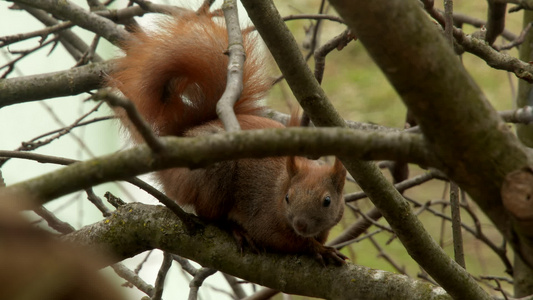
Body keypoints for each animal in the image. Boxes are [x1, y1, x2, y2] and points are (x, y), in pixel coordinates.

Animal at [110, 7, 348, 264]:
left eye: (327, 201)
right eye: (287, 197)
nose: (301, 225)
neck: (280, 184)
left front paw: (321, 244)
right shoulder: (264, 218)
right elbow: (284, 241)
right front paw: (318, 249)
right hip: (214, 176)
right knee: (210, 216)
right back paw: (237, 231)